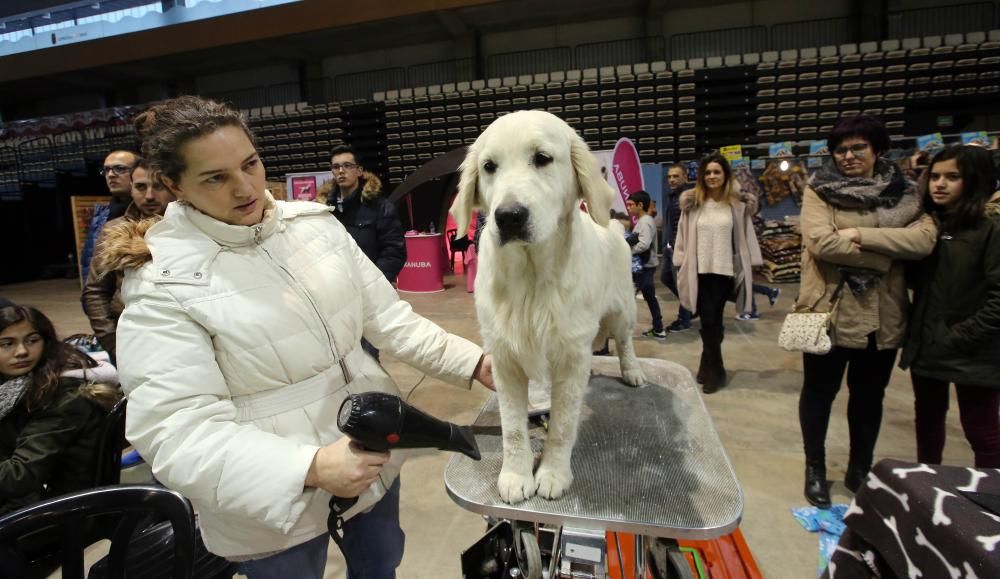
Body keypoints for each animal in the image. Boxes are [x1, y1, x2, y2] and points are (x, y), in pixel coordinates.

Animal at [450, 110, 644, 502]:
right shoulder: (505, 360)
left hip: (621, 310)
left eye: (542, 158)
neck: (531, 277)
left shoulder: (570, 358)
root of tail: (618, 228)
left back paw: (631, 370)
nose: (508, 216)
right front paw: (515, 475)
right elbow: (513, 428)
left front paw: (553, 473)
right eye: (489, 166)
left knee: (624, 341)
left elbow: (562, 425)